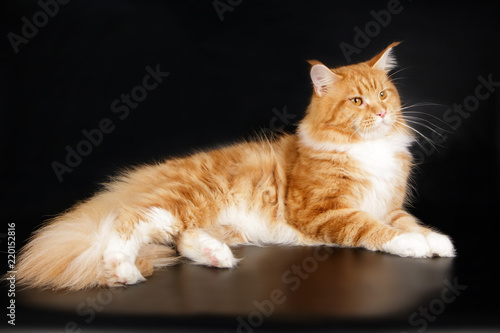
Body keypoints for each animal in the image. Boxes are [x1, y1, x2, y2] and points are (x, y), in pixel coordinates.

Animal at [15, 42, 456, 290]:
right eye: (357, 102)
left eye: (383, 94)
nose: (382, 113)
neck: (369, 149)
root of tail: (137, 179)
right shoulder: (324, 210)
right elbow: (375, 230)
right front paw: (414, 246)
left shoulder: (388, 204)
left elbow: (408, 222)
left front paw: (437, 241)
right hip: (178, 203)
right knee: (126, 224)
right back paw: (122, 269)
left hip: (204, 218)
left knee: (184, 238)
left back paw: (216, 256)